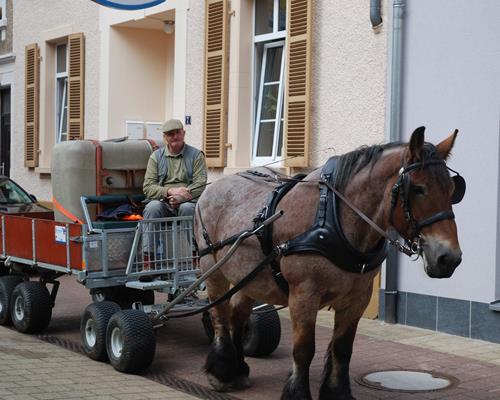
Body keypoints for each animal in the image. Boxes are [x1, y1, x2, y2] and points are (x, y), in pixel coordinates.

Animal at [193, 127, 462, 400]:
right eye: (418, 188)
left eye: (454, 189)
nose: (449, 258)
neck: (333, 218)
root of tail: (212, 188)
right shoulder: (304, 295)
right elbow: (303, 350)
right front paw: (298, 394)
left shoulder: (357, 298)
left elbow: (342, 349)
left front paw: (337, 392)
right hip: (212, 269)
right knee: (219, 315)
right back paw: (222, 371)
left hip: (248, 277)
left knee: (237, 316)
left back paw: (236, 369)